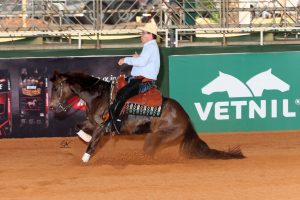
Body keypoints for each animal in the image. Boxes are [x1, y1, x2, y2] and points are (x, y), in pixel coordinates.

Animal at [49, 71, 245, 162]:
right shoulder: (92, 122)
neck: (100, 97)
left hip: (158, 136)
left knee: (149, 152)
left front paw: (84, 158)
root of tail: (186, 118)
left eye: (57, 88)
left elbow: (93, 143)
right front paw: (83, 137)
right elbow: (77, 127)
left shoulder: (101, 127)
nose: (51, 106)